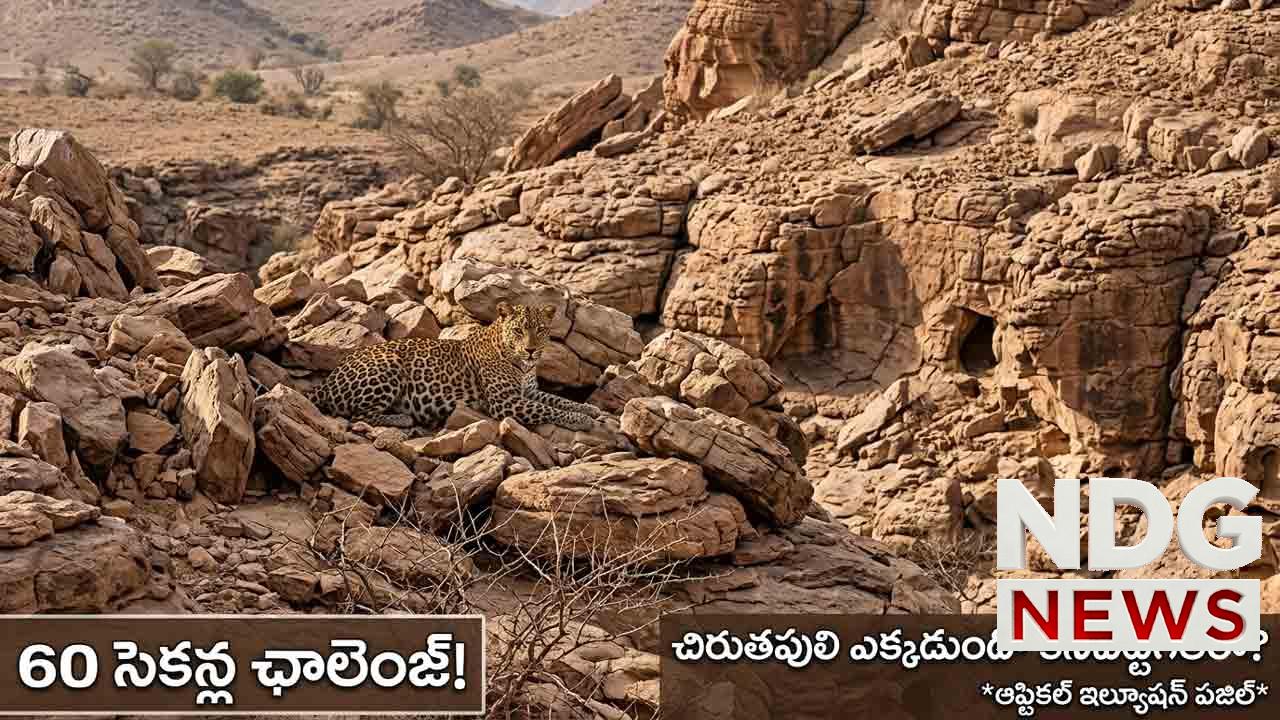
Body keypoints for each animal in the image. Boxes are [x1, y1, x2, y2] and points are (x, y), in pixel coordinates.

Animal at [309, 301, 604, 432]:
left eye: (541, 330)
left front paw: (589, 409)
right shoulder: (505, 401)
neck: (522, 365)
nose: (530, 350)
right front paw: (581, 420)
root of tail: (326, 382)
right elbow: (548, 409)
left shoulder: (528, 391)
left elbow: (558, 400)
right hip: (388, 365)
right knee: (358, 415)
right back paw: (403, 418)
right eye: (518, 331)